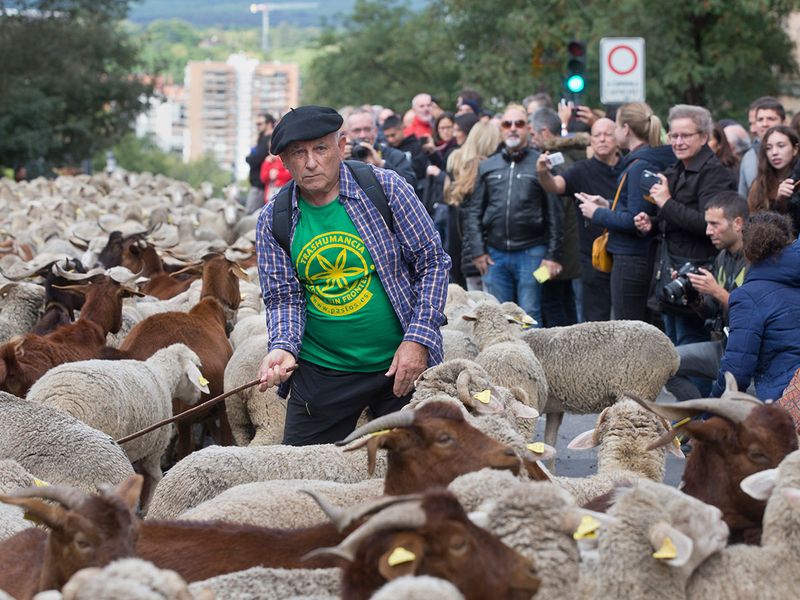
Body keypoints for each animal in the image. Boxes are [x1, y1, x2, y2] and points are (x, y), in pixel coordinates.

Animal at [25, 344, 209, 511]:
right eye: (197, 366)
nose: (198, 397)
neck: (161, 375)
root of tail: (59, 399)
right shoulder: (155, 447)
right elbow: (155, 476)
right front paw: (147, 507)